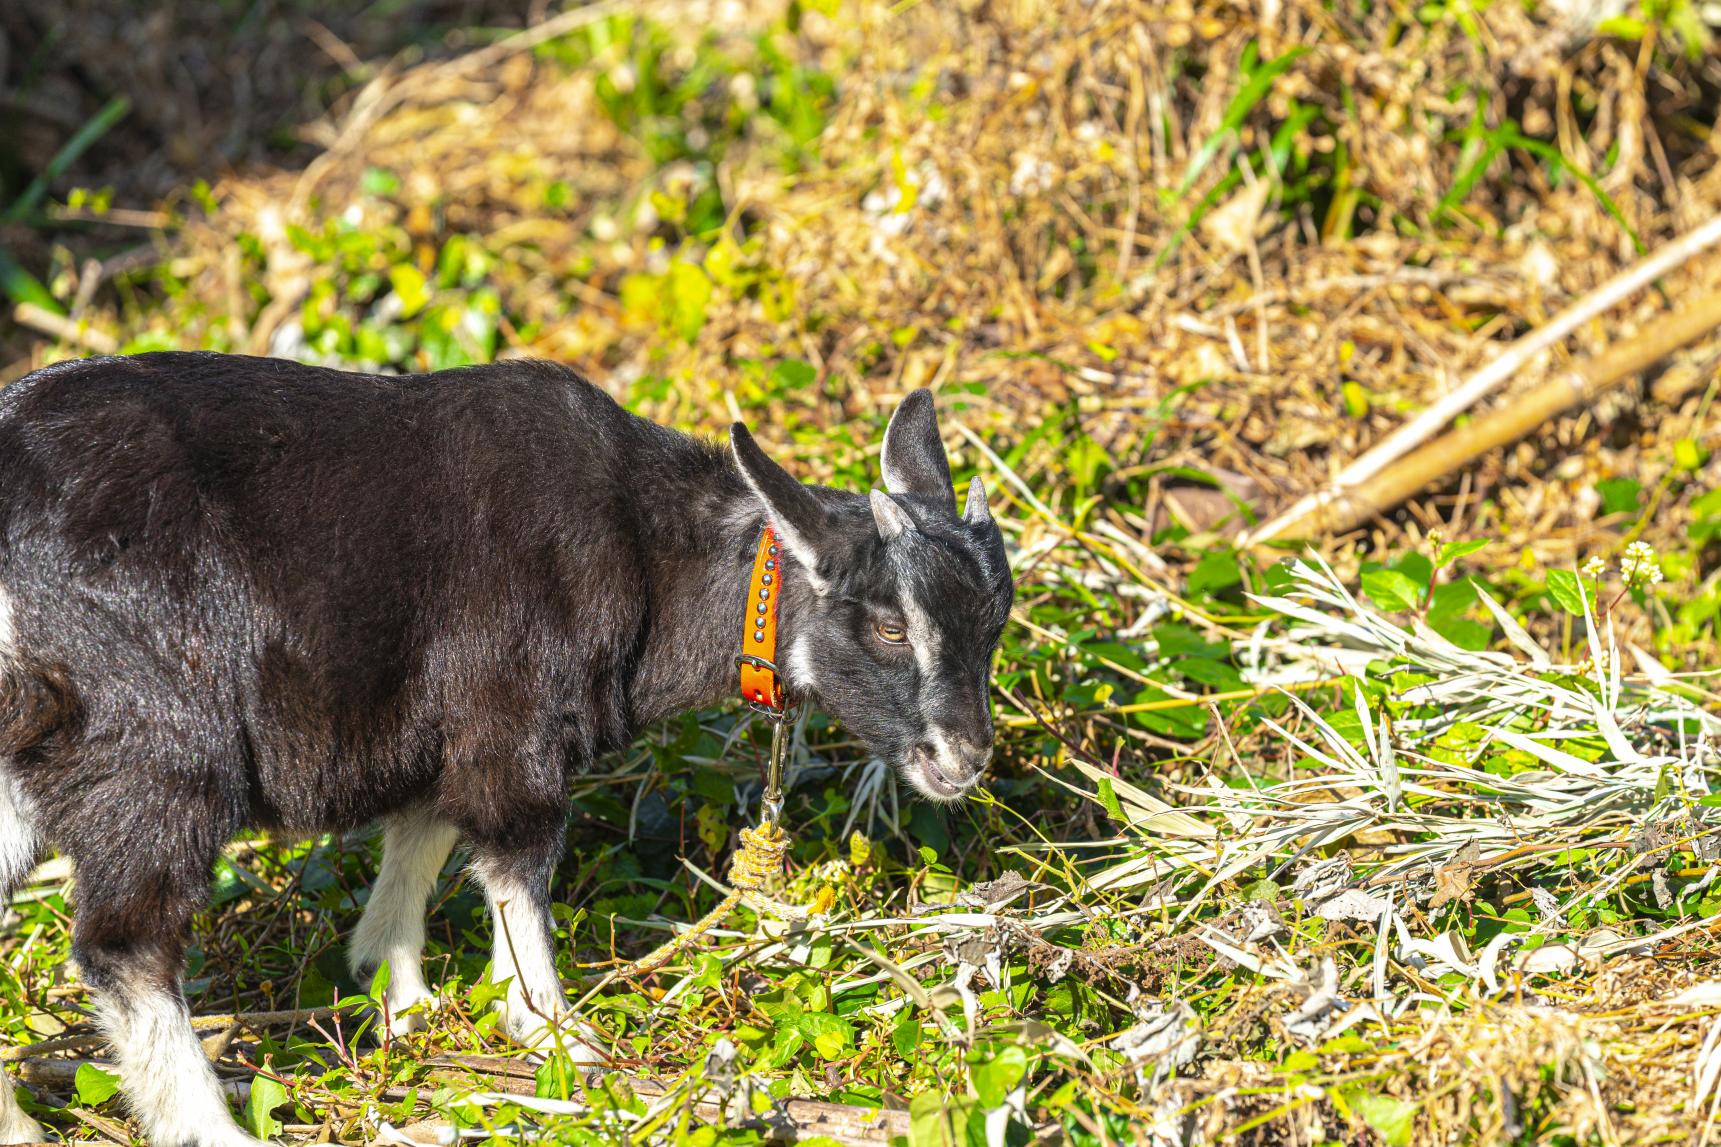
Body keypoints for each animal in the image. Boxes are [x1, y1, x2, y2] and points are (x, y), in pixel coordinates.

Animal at [0, 351, 1005, 1143]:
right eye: (887, 625)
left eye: (993, 624)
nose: (962, 759)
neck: (645, 552)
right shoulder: (512, 713)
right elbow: (517, 856)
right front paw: (552, 1030)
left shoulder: (441, 720)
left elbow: (426, 829)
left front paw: (399, 992)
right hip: (161, 741)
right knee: (125, 941)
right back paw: (210, 1127)